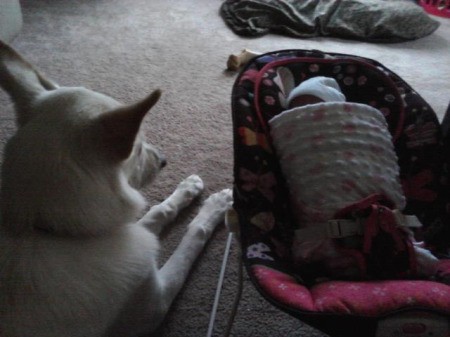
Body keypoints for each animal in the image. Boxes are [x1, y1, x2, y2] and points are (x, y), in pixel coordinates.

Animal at [0, 40, 232, 336]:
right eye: (138, 146)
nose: (164, 160)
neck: (47, 228)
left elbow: (157, 211)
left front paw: (187, 189)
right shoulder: (155, 301)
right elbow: (192, 239)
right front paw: (215, 207)